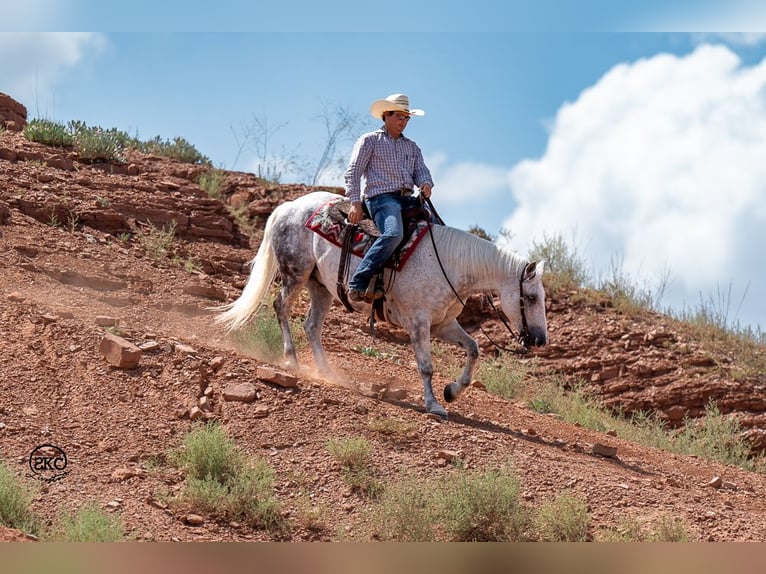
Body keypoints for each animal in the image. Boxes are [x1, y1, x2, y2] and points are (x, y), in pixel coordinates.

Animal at [219, 191, 548, 420]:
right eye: (531, 298)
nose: (540, 340)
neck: (450, 264)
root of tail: (288, 207)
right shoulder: (418, 323)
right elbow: (426, 366)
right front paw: (433, 404)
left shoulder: (443, 324)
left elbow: (473, 349)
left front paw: (452, 392)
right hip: (295, 273)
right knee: (281, 307)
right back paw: (291, 359)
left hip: (320, 286)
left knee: (311, 326)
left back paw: (327, 372)